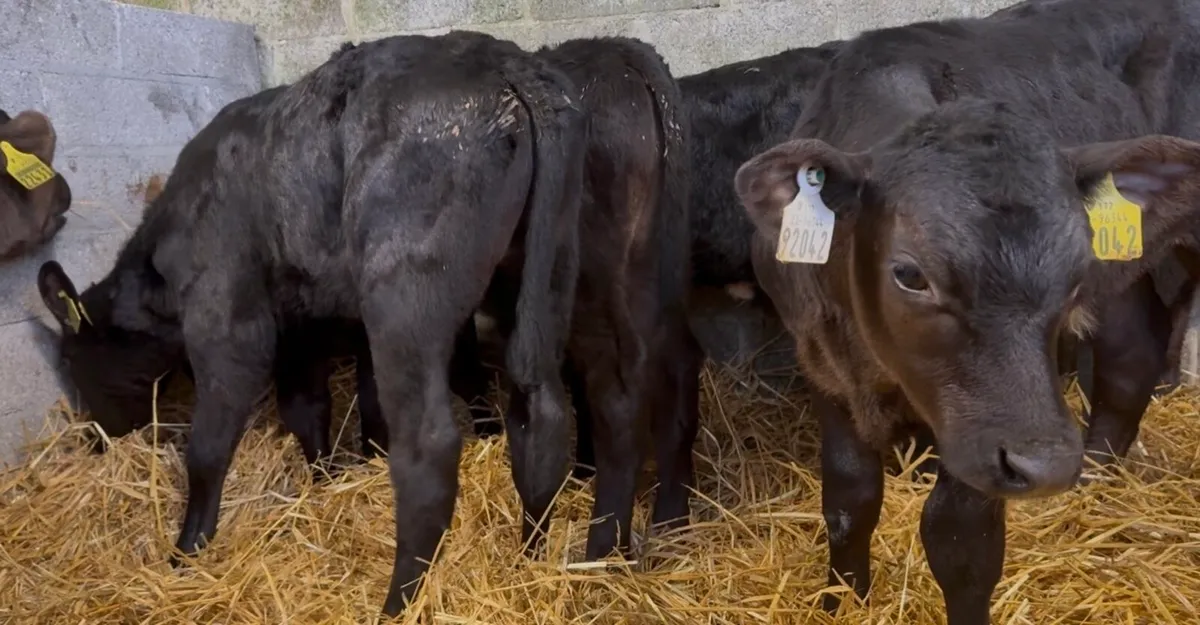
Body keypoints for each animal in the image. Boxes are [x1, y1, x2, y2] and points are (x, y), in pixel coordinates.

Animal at [36, 31, 586, 618]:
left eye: (72, 361)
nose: (94, 438)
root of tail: (497, 56)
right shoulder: (300, 323)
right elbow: (305, 408)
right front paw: (323, 481)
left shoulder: (228, 320)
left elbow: (207, 446)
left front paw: (186, 552)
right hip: (547, 269)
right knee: (539, 409)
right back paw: (529, 561)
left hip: (403, 296)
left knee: (429, 445)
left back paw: (397, 603)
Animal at [732, 1, 1200, 622]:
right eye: (910, 274)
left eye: (1076, 275)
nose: (1048, 465)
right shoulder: (822, 363)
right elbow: (848, 499)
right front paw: (841, 600)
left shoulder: (978, 431)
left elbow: (961, 539)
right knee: (1134, 355)